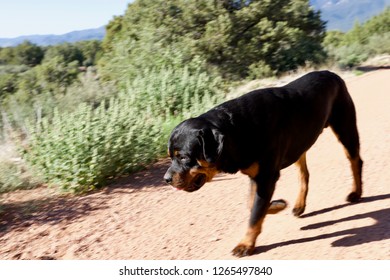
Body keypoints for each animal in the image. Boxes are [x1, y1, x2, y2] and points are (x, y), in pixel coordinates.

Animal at [164, 70, 362, 258]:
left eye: (183, 157)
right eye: (170, 157)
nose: (166, 179)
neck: (236, 131)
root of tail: (331, 73)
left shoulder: (266, 176)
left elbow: (255, 214)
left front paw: (245, 244)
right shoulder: (256, 175)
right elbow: (252, 205)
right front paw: (276, 205)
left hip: (345, 128)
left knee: (355, 160)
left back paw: (356, 193)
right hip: (299, 146)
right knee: (304, 173)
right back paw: (299, 205)